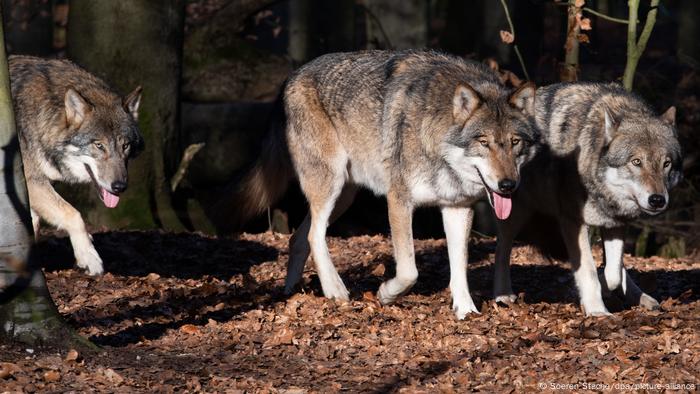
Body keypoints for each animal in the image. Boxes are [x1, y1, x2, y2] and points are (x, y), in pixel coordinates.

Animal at [10, 55, 144, 276]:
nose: (119, 187)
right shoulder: (29, 181)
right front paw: (89, 257)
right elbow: (73, 214)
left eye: (125, 146)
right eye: (99, 145)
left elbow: (34, 226)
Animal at [232, 50, 540, 320]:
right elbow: (409, 272)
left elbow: (459, 267)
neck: (438, 144)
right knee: (313, 235)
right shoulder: (398, 200)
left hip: (344, 197)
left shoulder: (457, 207)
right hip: (330, 185)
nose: (508, 185)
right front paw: (386, 294)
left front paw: (466, 311)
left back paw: (291, 291)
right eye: (484, 142)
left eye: (515, 142)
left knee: (298, 238)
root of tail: (291, 77)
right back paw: (335, 290)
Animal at [492, 81, 680, 316]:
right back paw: (503, 295)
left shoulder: (615, 223)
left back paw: (642, 298)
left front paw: (600, 291)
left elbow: (613, 274)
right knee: (501, 249)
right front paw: (597, 310)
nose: (657, 200)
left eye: (666, 164)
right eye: (636, 162)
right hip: (515, 213)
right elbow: (589, 270)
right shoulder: (573, 221)